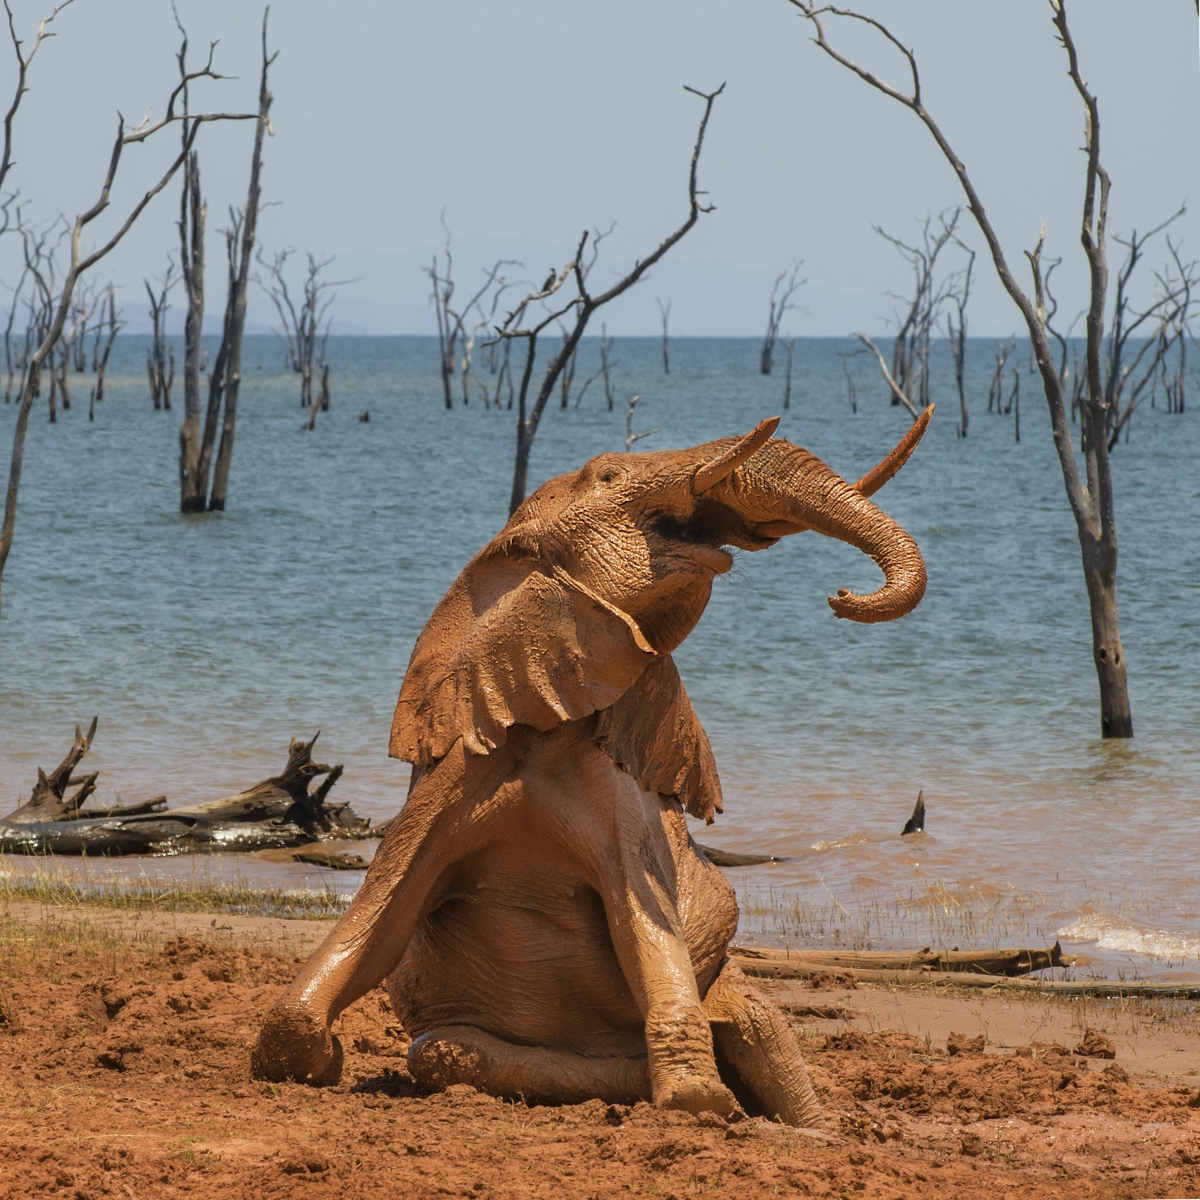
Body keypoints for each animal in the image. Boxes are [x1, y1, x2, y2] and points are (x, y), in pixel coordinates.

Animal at [250, 410, 926, 1123]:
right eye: (609, 474)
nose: (840, 596)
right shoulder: (453, 776)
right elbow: (382, 915)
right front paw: (320, 1062)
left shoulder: (622, 796)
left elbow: (643, 919)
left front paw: (699, 1099)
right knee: (443, 1052)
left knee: (756, 1022)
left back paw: (799, 1124)